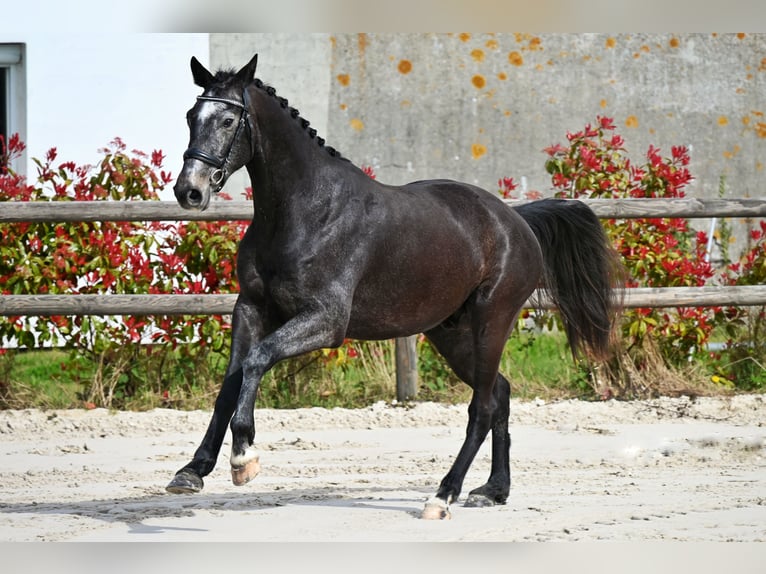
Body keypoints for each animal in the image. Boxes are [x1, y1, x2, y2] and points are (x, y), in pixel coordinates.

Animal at [167, 53, 623, 520]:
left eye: (227, 119)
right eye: (190, 116)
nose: (190, 190)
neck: (305, 210)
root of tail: (517, 221)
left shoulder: (326, 321)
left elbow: (257, 361)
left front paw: (244, 457)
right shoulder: (251, 308)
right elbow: (231, 382)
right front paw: (192, 470)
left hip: (491, 322)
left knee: (482, 407)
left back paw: (443, 496)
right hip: (451, 333)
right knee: (500, 393)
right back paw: (493, 490)